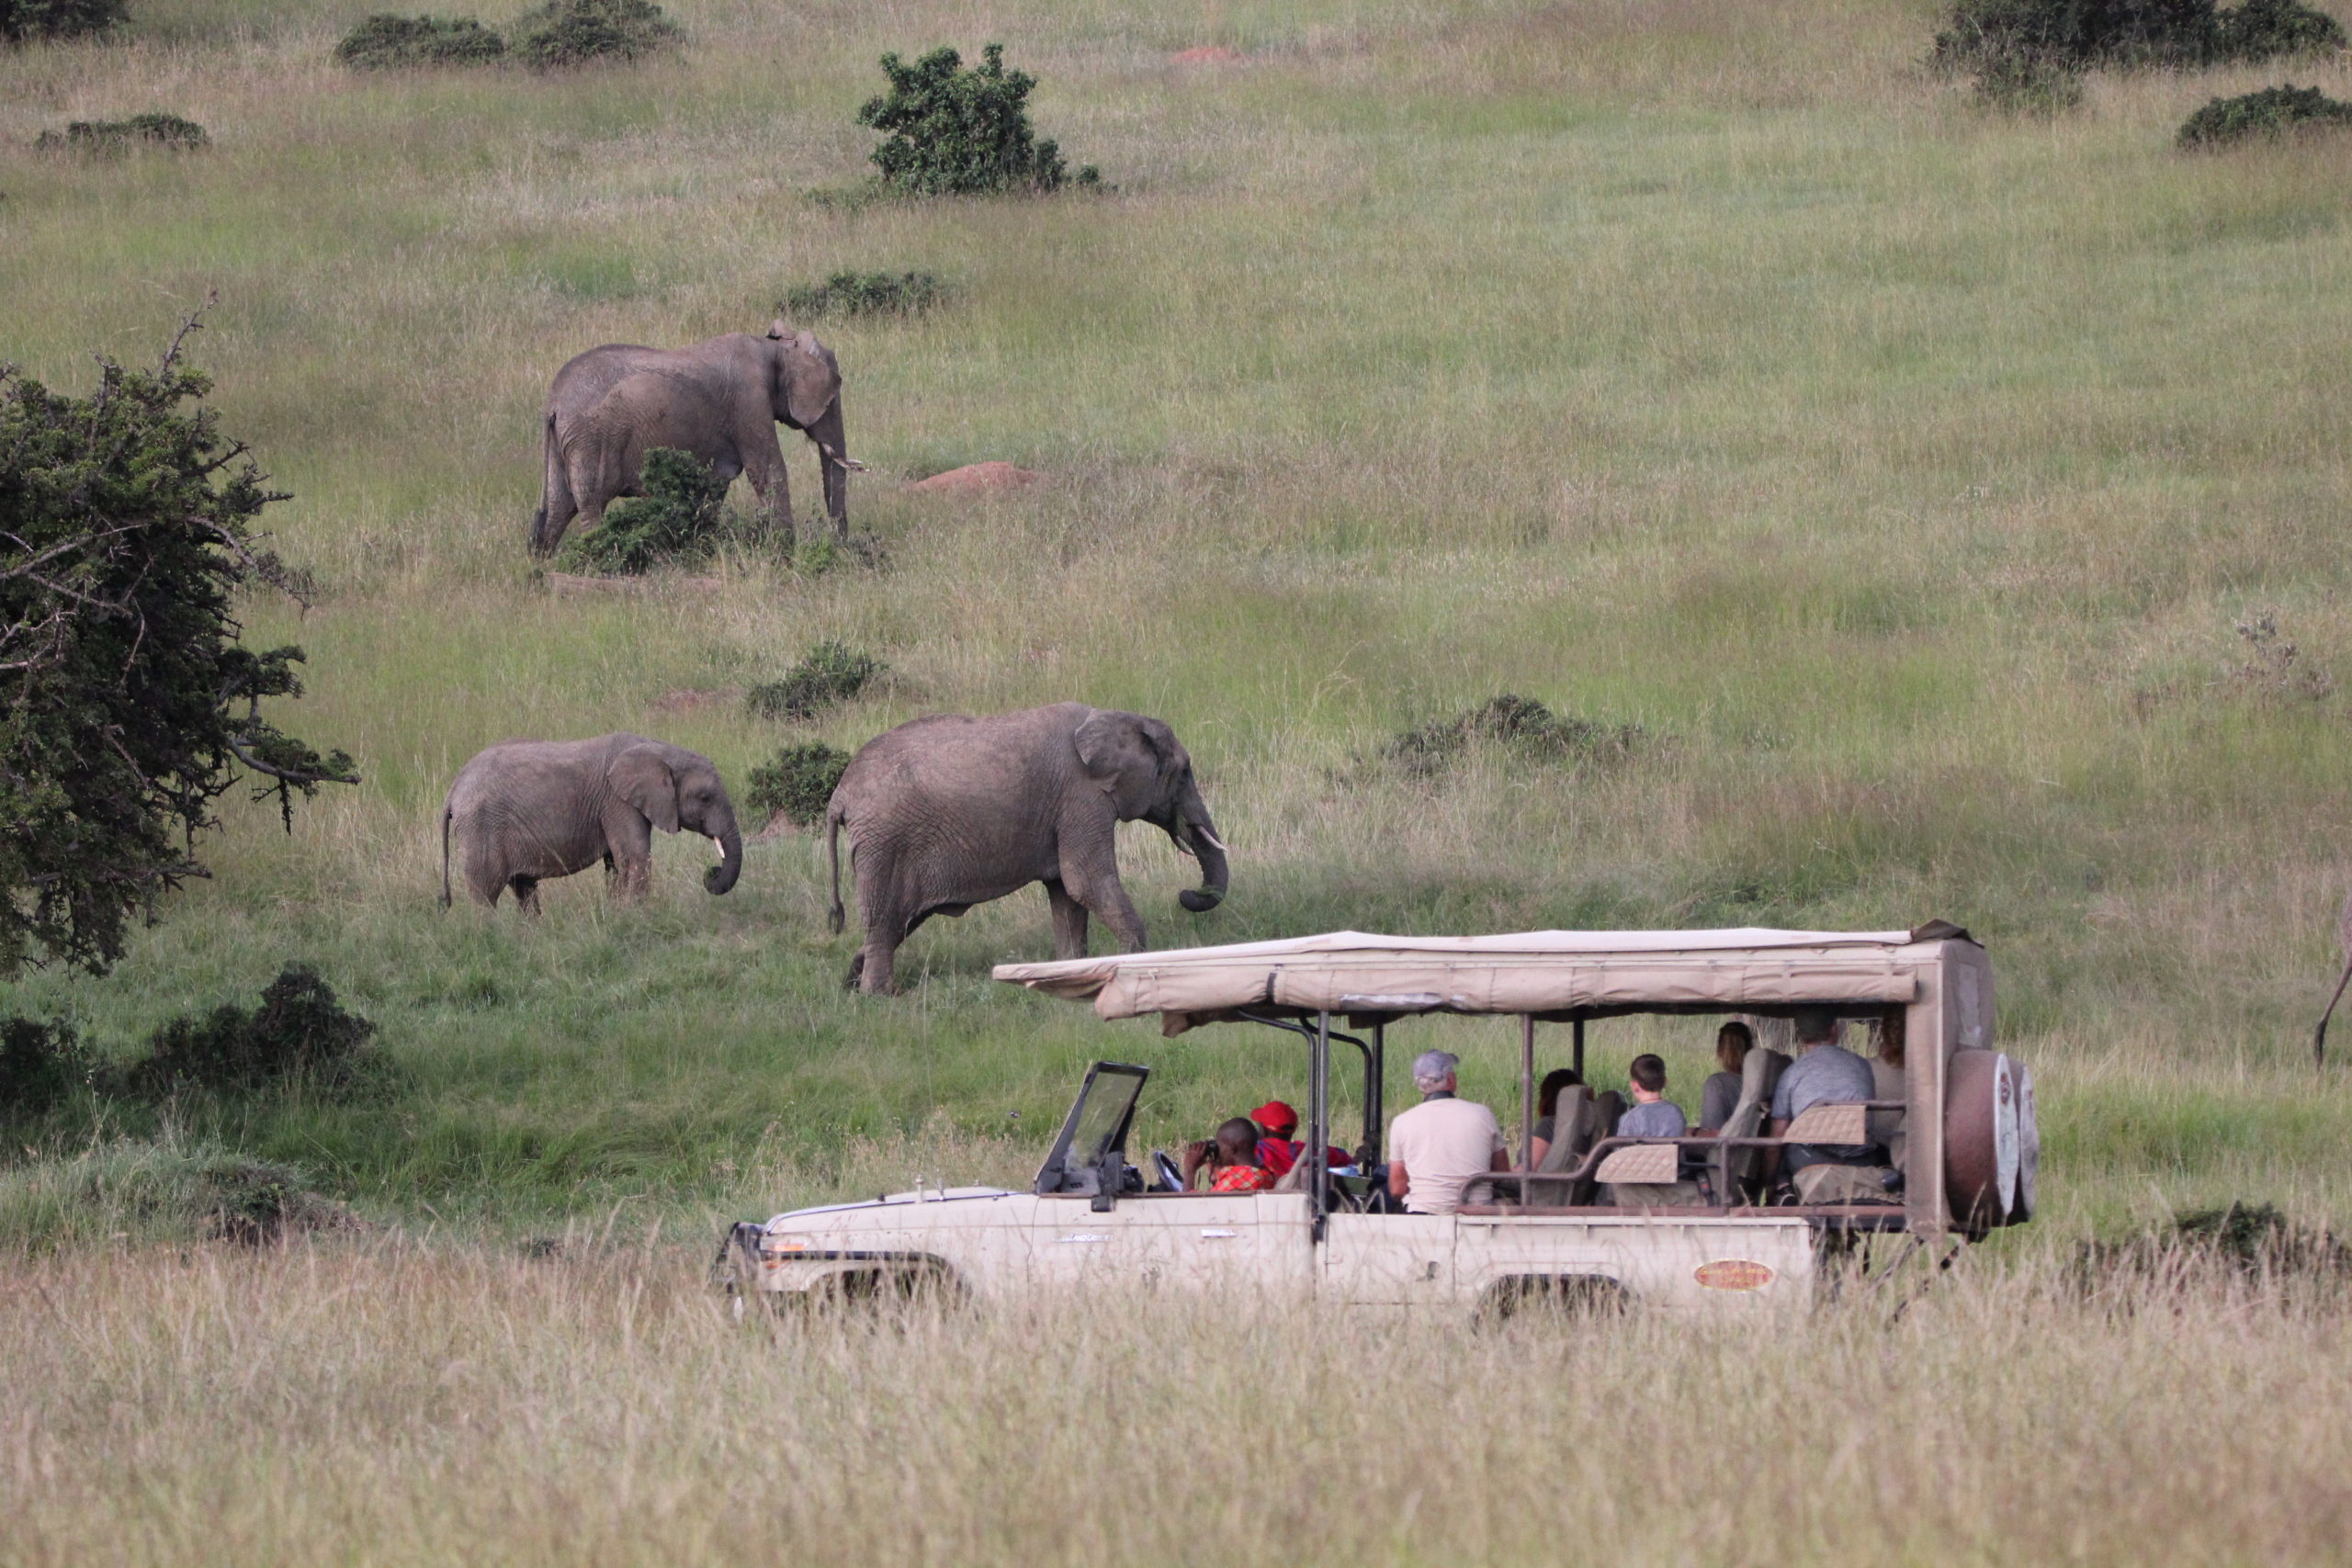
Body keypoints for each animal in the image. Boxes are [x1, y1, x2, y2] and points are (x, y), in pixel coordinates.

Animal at [437, 733, 738, 911]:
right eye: (705, 798)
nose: (710, 873)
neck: (657, 749)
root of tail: (453, 790)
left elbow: (616, 863)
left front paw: (618, 913)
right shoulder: (616, 801)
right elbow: (636, 856)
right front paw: (637, 915)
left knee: (524, 889)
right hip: (481, 827)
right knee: (486, 892)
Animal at [828, 700, 1232, 991]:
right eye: (1184, 773)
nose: (1187, 893)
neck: (1113, 717)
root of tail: (840, 796)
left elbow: (1066, 894)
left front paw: (1070, 973)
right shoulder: (1081, 797)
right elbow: (1085, 881)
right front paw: (1134, 961)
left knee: (900, 922)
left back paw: (851, 983)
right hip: (885, 845)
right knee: (885, 920)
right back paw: (879, 996)